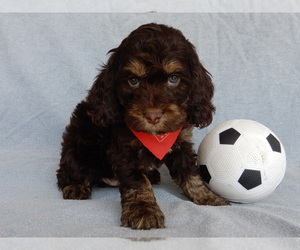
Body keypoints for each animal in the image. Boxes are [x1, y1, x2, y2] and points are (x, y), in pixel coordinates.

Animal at [56, 23, 230, 230]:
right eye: (133, 81)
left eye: (173, 78)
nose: (153, 116)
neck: (156, 136)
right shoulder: (124, 150)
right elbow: (137, 182)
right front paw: (143, 211)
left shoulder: (181, 143)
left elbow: (190, 173)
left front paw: (209, 197)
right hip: (79, 141)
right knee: (69, 169)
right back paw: (75, 186)